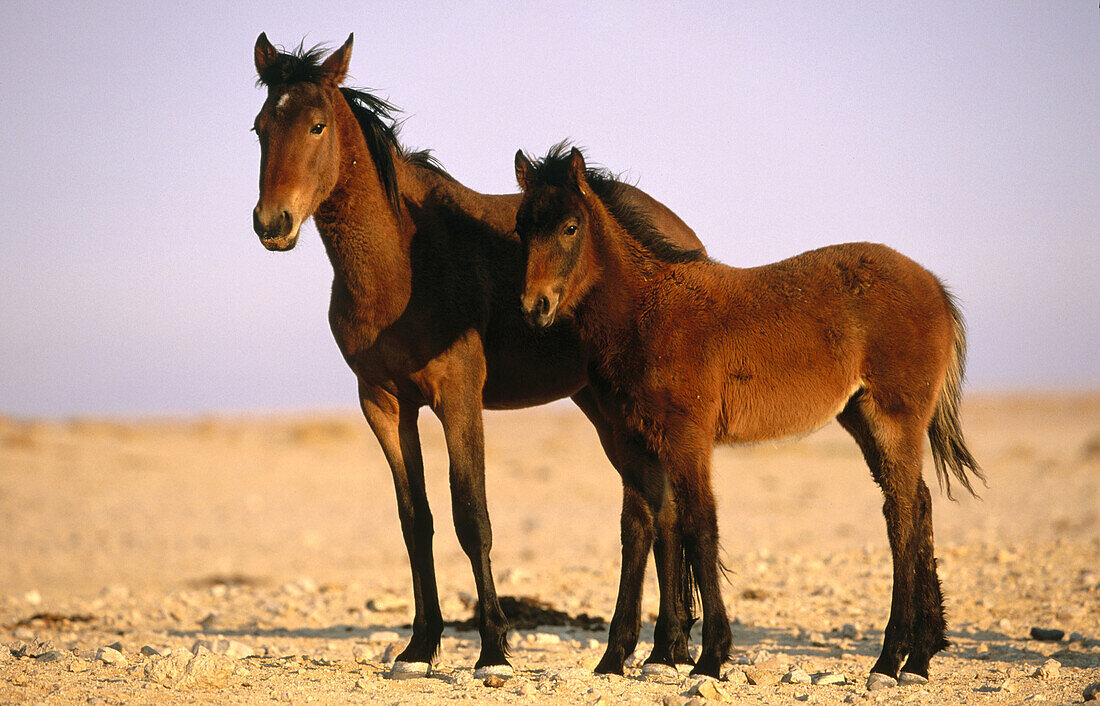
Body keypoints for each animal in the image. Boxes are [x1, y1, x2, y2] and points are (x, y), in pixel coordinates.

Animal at [251, 34, 704, 677]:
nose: (273, 223)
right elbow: (416, 522)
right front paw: (419, 648)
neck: (404, 262)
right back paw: (649, 650)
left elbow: (473, 517)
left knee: (654, 513)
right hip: (598, 404)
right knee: (650, 514)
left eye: (317, 125)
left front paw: (492, 651)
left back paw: (660, 651)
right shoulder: (384, 404)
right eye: (260, 127)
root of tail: (684, 239)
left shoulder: (458, 397)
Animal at [514, 145, 990, 686]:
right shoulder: (632, 445)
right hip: (863, 419)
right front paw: (619, 659)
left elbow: (700, 526)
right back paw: (921, 656)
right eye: (521, 227)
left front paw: (710, 657)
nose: (534, 307)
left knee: (902, 515)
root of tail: (933, 284)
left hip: (893, 418)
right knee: (919, 504)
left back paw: (891, 660)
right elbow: (641, 530)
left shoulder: (687, 439)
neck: (646, 311)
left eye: (570, 227)